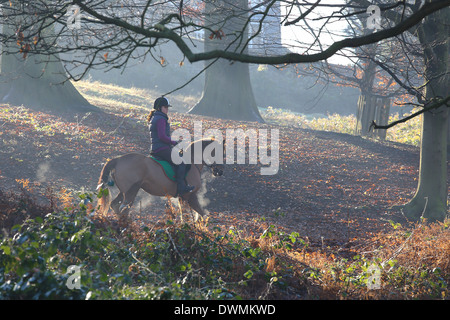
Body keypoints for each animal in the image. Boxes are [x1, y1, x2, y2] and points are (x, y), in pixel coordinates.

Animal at [96, 137, 224, 222]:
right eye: (219, 153)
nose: (220, 171)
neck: (192, 162)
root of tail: (118, 159)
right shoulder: (189, 196)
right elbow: (192, 215)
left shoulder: (185, 197)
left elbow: (196, 214)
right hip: (131, 191)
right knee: (124, 208)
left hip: (124, 191)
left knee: (115, 205)